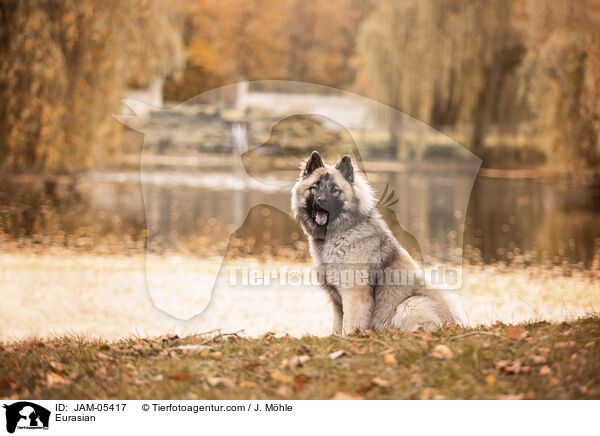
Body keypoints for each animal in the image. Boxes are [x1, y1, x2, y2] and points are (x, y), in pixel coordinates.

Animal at [292, 152, 458, 332]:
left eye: (335, 190)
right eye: (314, 187)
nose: (321, 200)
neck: (339, 234)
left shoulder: (354, 295)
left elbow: (348, 327)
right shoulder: (337, 302)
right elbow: (337, 328)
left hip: (411, 303)